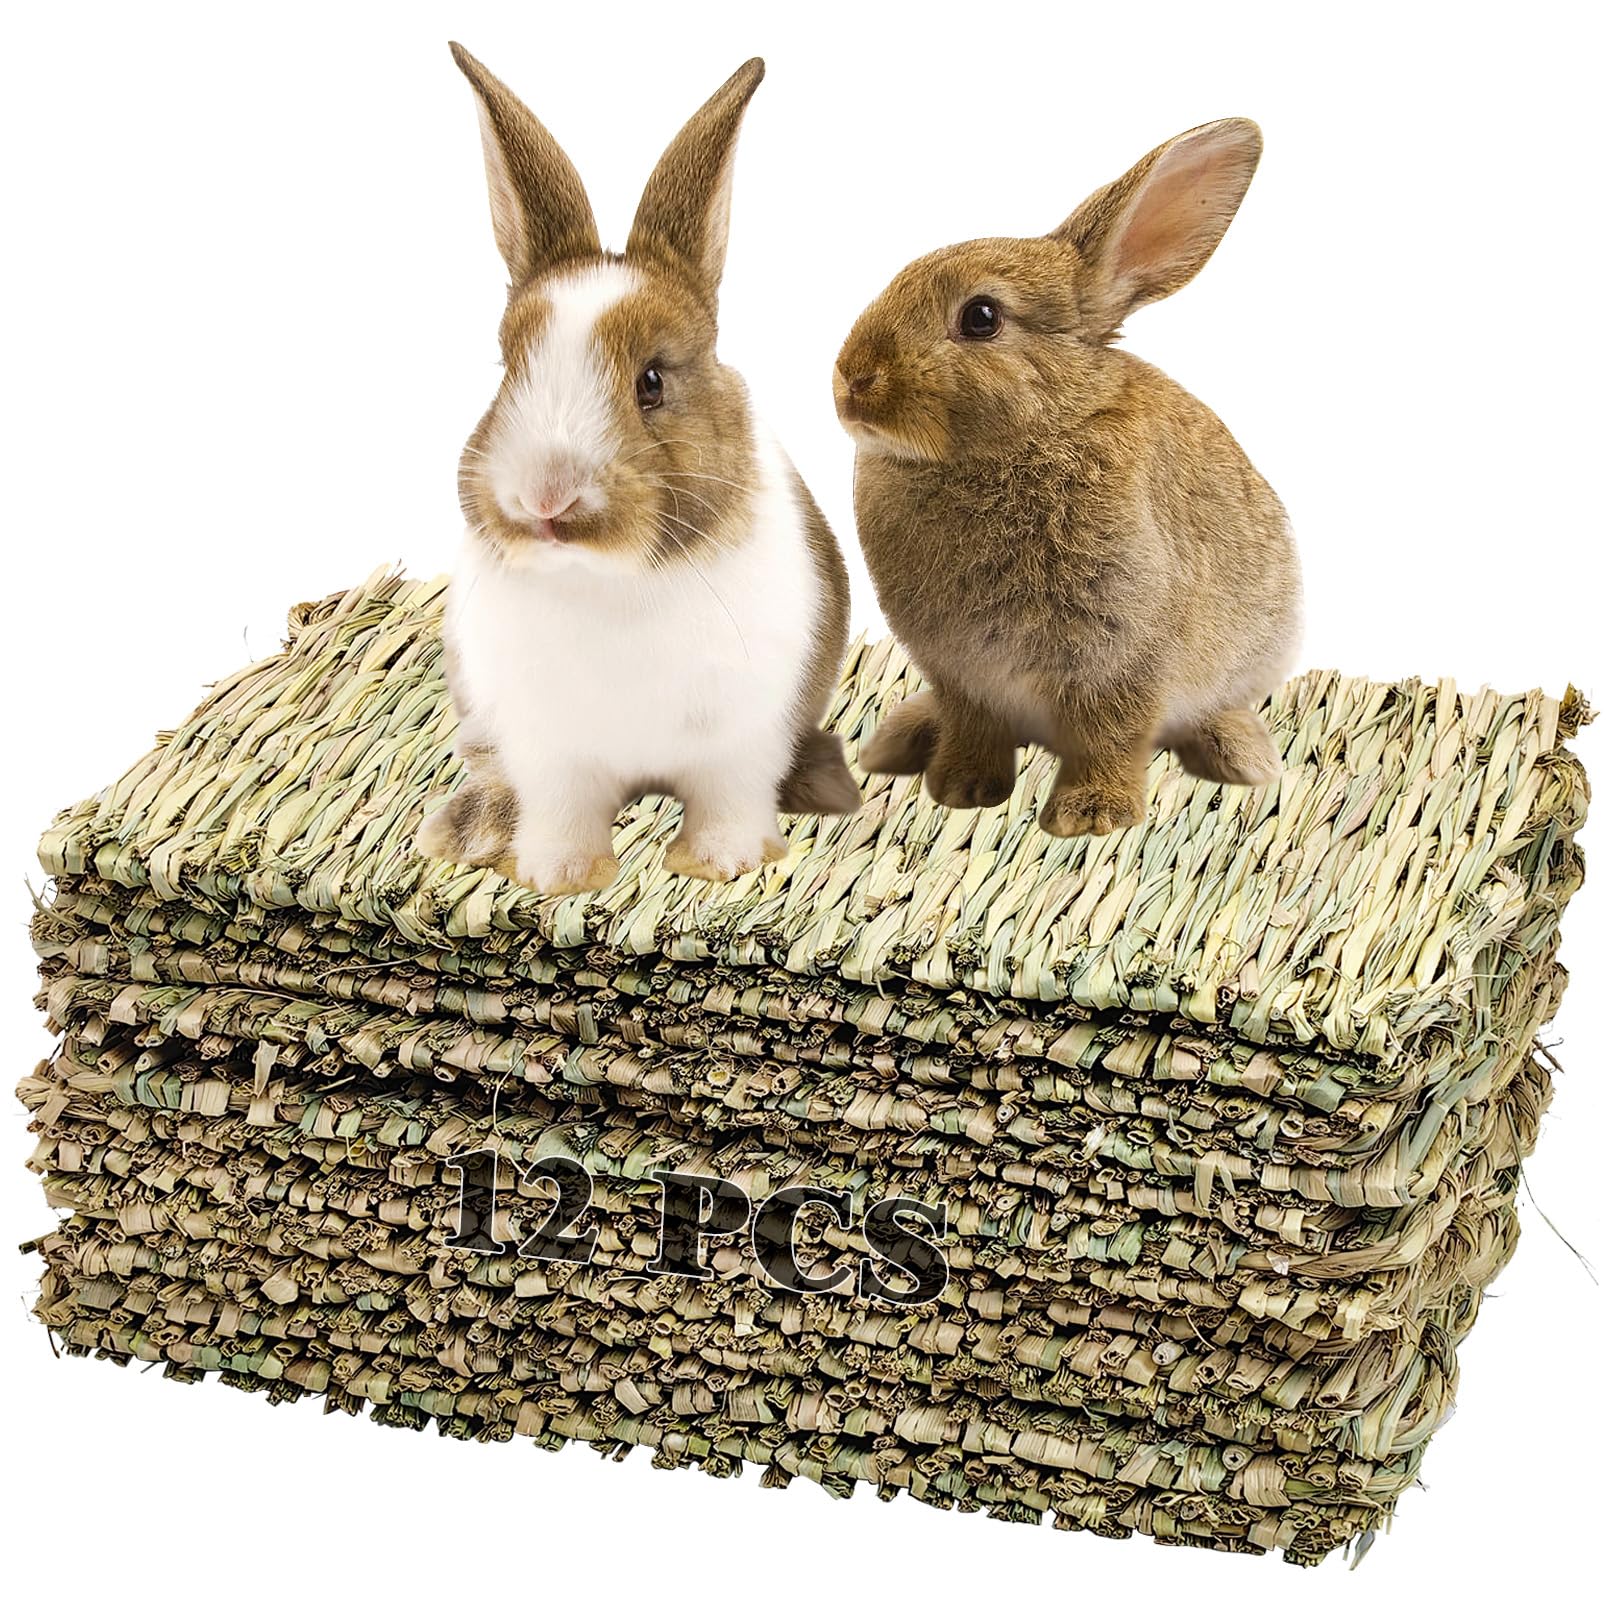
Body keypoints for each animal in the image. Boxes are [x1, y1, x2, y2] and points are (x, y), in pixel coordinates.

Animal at [418, 46, 858, 896]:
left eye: (651, 380)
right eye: (507, 369)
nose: (545, 498)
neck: (608, 582)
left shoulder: (742, 737)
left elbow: (730, 800)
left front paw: (721, 863)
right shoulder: (551, 750)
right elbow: (562, 810)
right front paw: (558, 874)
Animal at [833, 117, 1300, 838]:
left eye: (982, 317)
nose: (851, 380)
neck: (1029, 436)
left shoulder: (1121, 655)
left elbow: (1112, 734)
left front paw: (1091, 815)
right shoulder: (962, 674)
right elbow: (973, 728)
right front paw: (960, 788)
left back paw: (1243, 757)